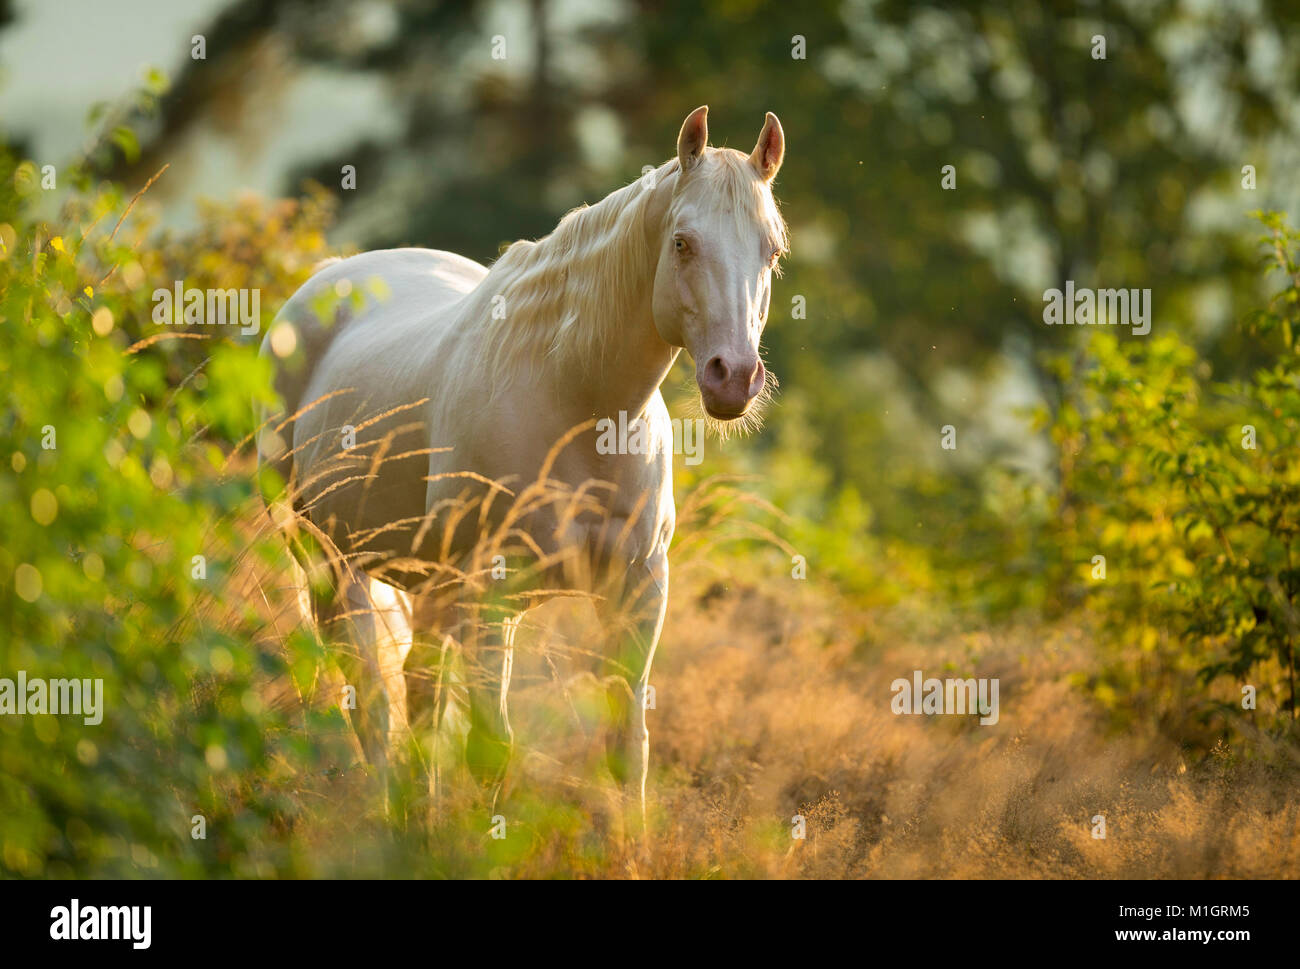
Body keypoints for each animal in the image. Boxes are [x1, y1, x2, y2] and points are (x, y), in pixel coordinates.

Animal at [252, 104, 780, 832]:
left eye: (772, 249)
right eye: (682, 242)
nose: (733, 378)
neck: (577, 402)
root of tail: (323, 280)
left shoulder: (639, 591)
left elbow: (628, 750)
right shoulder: (491, 594)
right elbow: (491, 750)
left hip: (430, 586)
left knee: (416, 693)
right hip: (330, 564)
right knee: (372, 703)